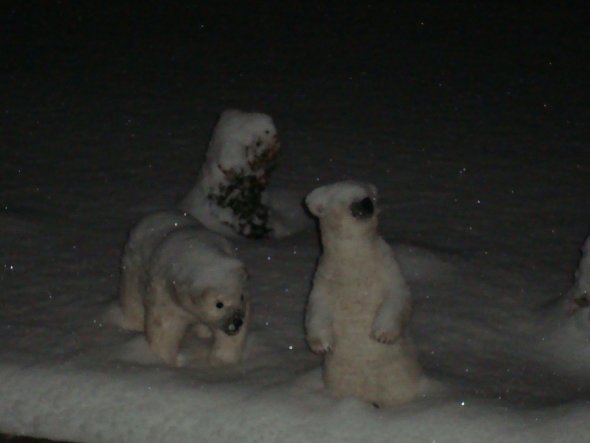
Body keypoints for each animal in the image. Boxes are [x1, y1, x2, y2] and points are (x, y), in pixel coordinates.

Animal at [119, 212, 251, 368]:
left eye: (241, 296)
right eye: (219, 304)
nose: (236, 322)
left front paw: (222, 362)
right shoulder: (166, 293)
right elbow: (164, 326)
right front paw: (163, 360)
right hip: (132, 266)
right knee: (132, 298)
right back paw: (133, 325)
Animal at [306, 182, 420, 408]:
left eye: (369, 195)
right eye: (343, 197)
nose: (366, 203)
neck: (354, 254)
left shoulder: (386, 263)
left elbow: (398, 295)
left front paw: (383, 334)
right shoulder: (326, 274)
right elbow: (317, 306)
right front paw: (322, 345)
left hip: (398, 372)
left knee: (400, 390)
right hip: (337, 376)